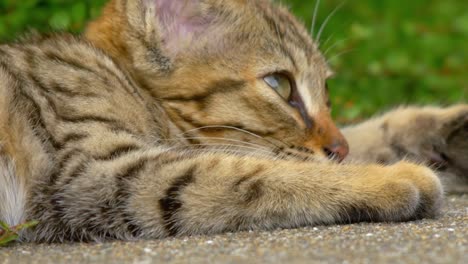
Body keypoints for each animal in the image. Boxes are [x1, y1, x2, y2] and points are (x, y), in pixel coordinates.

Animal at [0, 0, 466, 243]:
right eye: (280, 84)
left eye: (328, 93)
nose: (339, 148)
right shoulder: (94, 173)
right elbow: (261, 173)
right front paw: (387, 178)